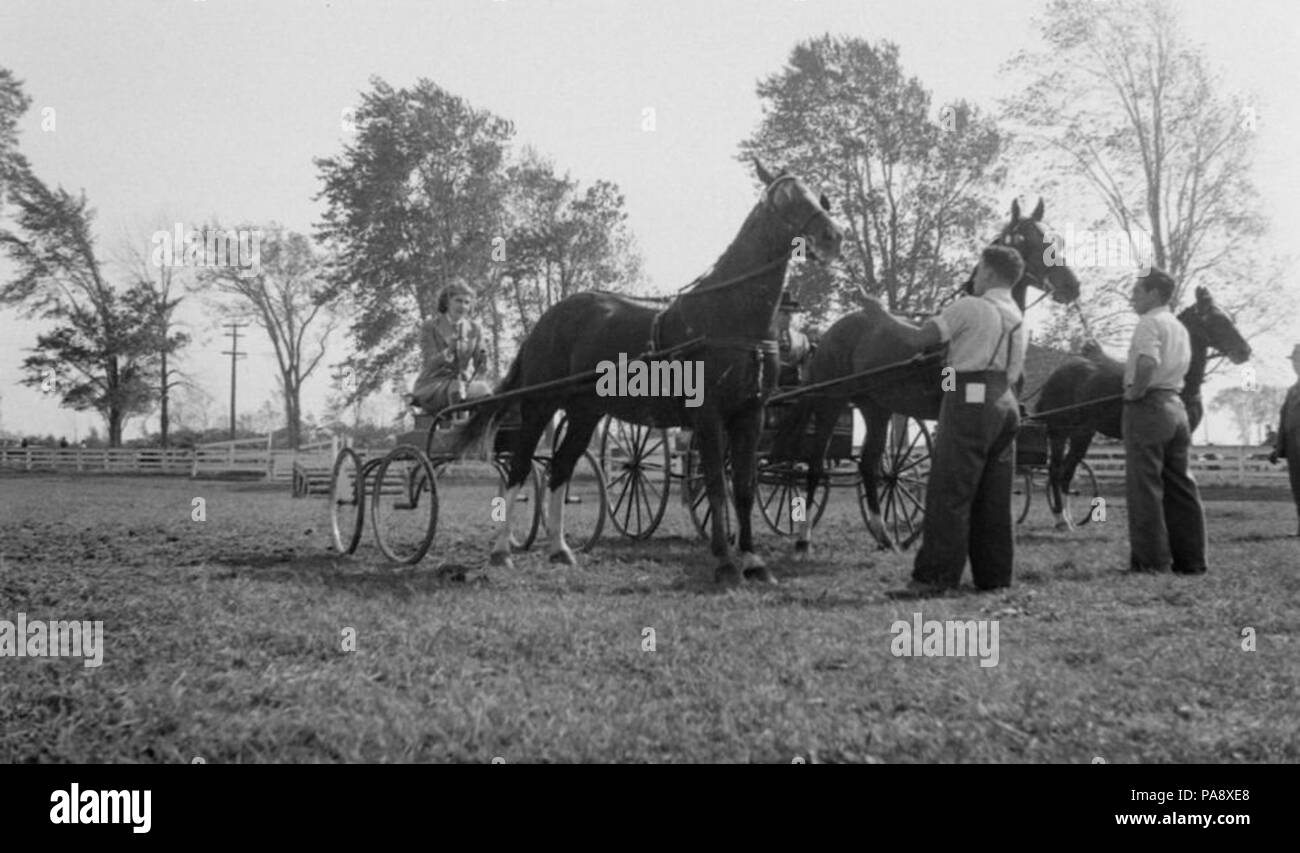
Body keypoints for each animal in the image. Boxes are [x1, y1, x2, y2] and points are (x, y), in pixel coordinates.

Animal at [452, 159, 847, 587]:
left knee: (560, 467)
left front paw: (754, 562)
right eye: (784, 198)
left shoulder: (751, 413)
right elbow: (716, 483)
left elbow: (743, 486)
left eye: (816, 195)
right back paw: (502, 550)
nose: (833, 236)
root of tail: (549, 318)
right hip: (541, 404)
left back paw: (560, 549)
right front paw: (725, 563)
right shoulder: (708, 416)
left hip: (585, 412)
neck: (732, 316)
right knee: (522, 466)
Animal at [769, 196, 1076, 553]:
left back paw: (884, 537)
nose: (1072, 286)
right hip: (830, 403)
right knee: (816, 465)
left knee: (869, 465)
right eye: (1026, 239)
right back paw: (804, 539)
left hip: (876, 408)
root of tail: (830, 334)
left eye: (1054, 237)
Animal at [1034, 284, 1248, 525]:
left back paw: (1068, 519)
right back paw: (1060, 518)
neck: (1184, 387)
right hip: (1059, 432)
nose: (1245, 351)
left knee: (1066, 473)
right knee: (1055, 471)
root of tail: (1055, 376)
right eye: (1217, 320)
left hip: (1082, 433)